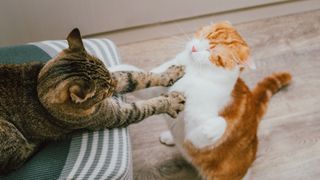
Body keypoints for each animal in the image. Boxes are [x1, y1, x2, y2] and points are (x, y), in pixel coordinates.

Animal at [0, 28, 185, 174]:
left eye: (110, 82)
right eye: (105, 91)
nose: (114, 85)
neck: (39, 87)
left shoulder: (116, 77)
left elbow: (136, 77)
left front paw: (168, 74)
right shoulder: (117, 114)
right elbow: (146, 107)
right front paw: (171, 102)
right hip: (10, 132)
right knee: (15, 162)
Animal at [151, 21, 292, 179]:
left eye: (212, 52)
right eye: (205, 35)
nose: (194, 48)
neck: (195, 72)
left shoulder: (195, 138)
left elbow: (213, 127)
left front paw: (212, 127)